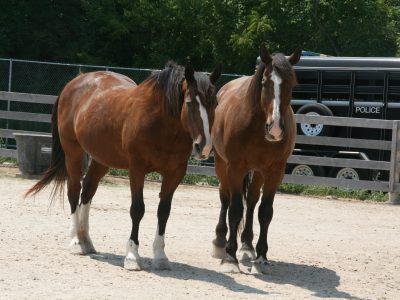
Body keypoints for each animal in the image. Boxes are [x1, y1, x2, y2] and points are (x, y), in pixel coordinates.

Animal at [27, 62, 222, 270]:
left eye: (215, 104)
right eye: (190, 103)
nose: (204, 147)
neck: (162, 124)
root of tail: (75, 81)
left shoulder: (175, 173)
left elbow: (163, 211)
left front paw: (160, 256)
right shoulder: (137, 169)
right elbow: (137, 209)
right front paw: (132, 256)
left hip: (101, 158)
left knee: (87, 191)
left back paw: (85, 240)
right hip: (73, 153)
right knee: (73, 190)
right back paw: (76, 241)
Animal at [209, 44, 300, 274]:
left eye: (291, 84)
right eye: (265, 82)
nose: (275, 128)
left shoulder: (275, 171)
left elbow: (265, 212)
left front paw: (261, 257)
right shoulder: (235, 168)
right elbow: (234, 210)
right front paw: (230, 258)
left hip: (258, 172)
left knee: (251, 201)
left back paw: (247, 246)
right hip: (222, 165)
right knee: (225, 199)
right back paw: (220, 243)